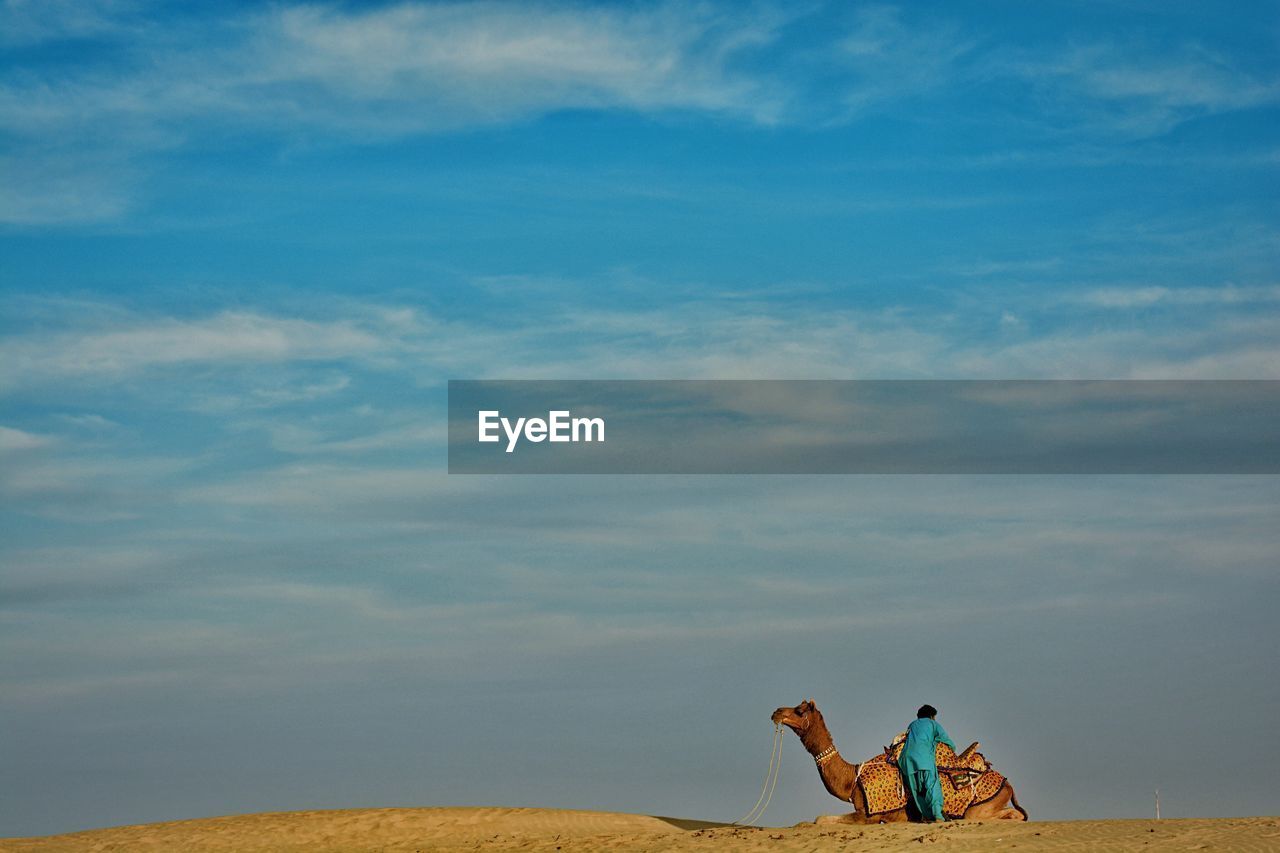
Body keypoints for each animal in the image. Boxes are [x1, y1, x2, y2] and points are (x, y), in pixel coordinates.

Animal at [768, 696, 1029, 819]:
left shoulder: (869, 816)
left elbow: (820, 819)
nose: (776, 712)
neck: (852, 779)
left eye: (799, 710)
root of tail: (1009, 784)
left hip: (979, 807)